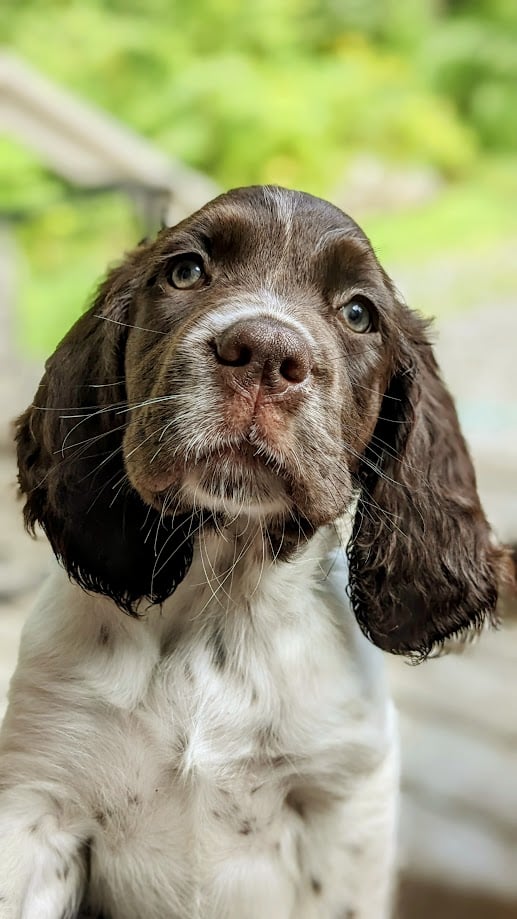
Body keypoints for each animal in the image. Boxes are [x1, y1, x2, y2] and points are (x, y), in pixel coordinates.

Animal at [0, 187, 502, 919]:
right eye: (186, 271)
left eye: (358, 313)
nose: (264, 352)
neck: (222, 592)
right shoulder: (38, 797)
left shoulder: (345, 810)